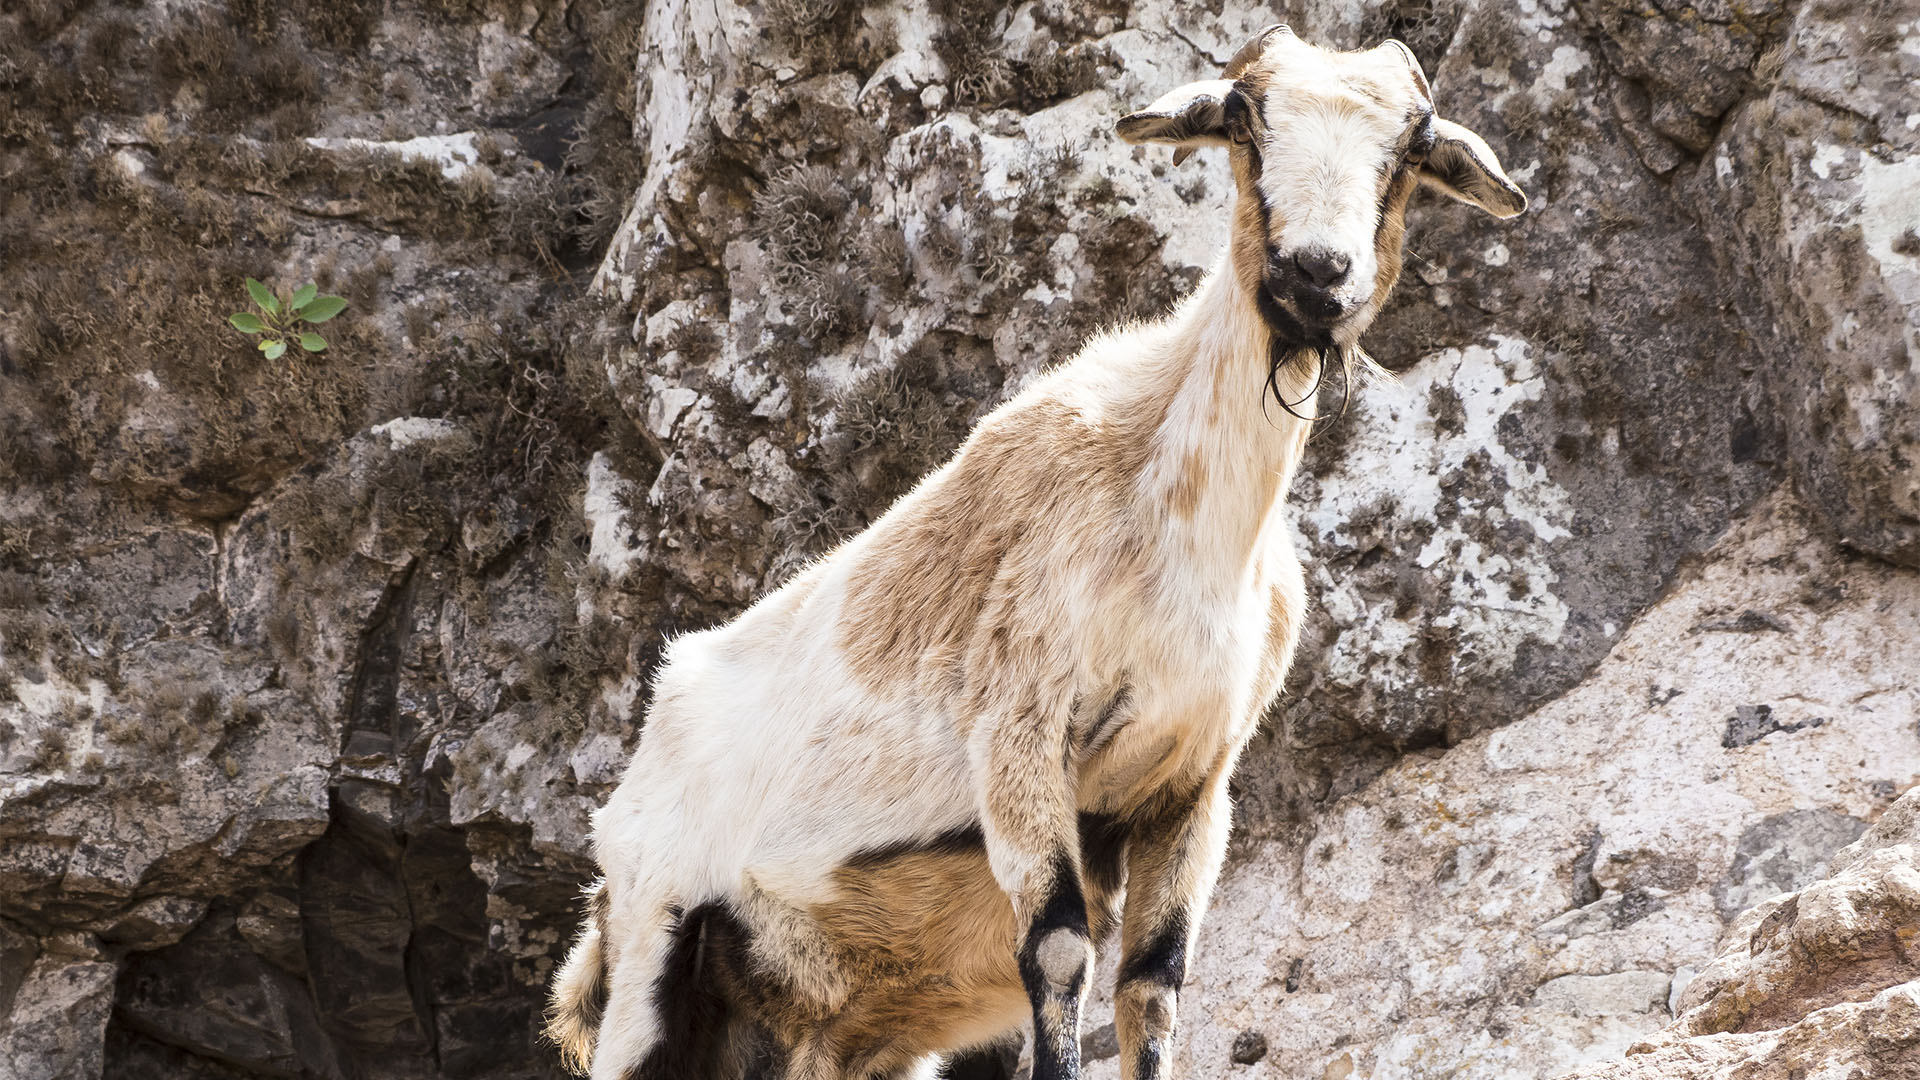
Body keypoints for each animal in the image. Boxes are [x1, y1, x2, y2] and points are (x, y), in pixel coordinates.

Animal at [549, 25, 1520, 1076]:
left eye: (1414, 146)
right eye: (1243, 116)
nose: (1316, 275)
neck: (1180, 528)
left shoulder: (1192, 781)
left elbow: (1153, 985)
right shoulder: (1023, 735)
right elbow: (1059, 952)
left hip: (836, 1021)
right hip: (654, 942)